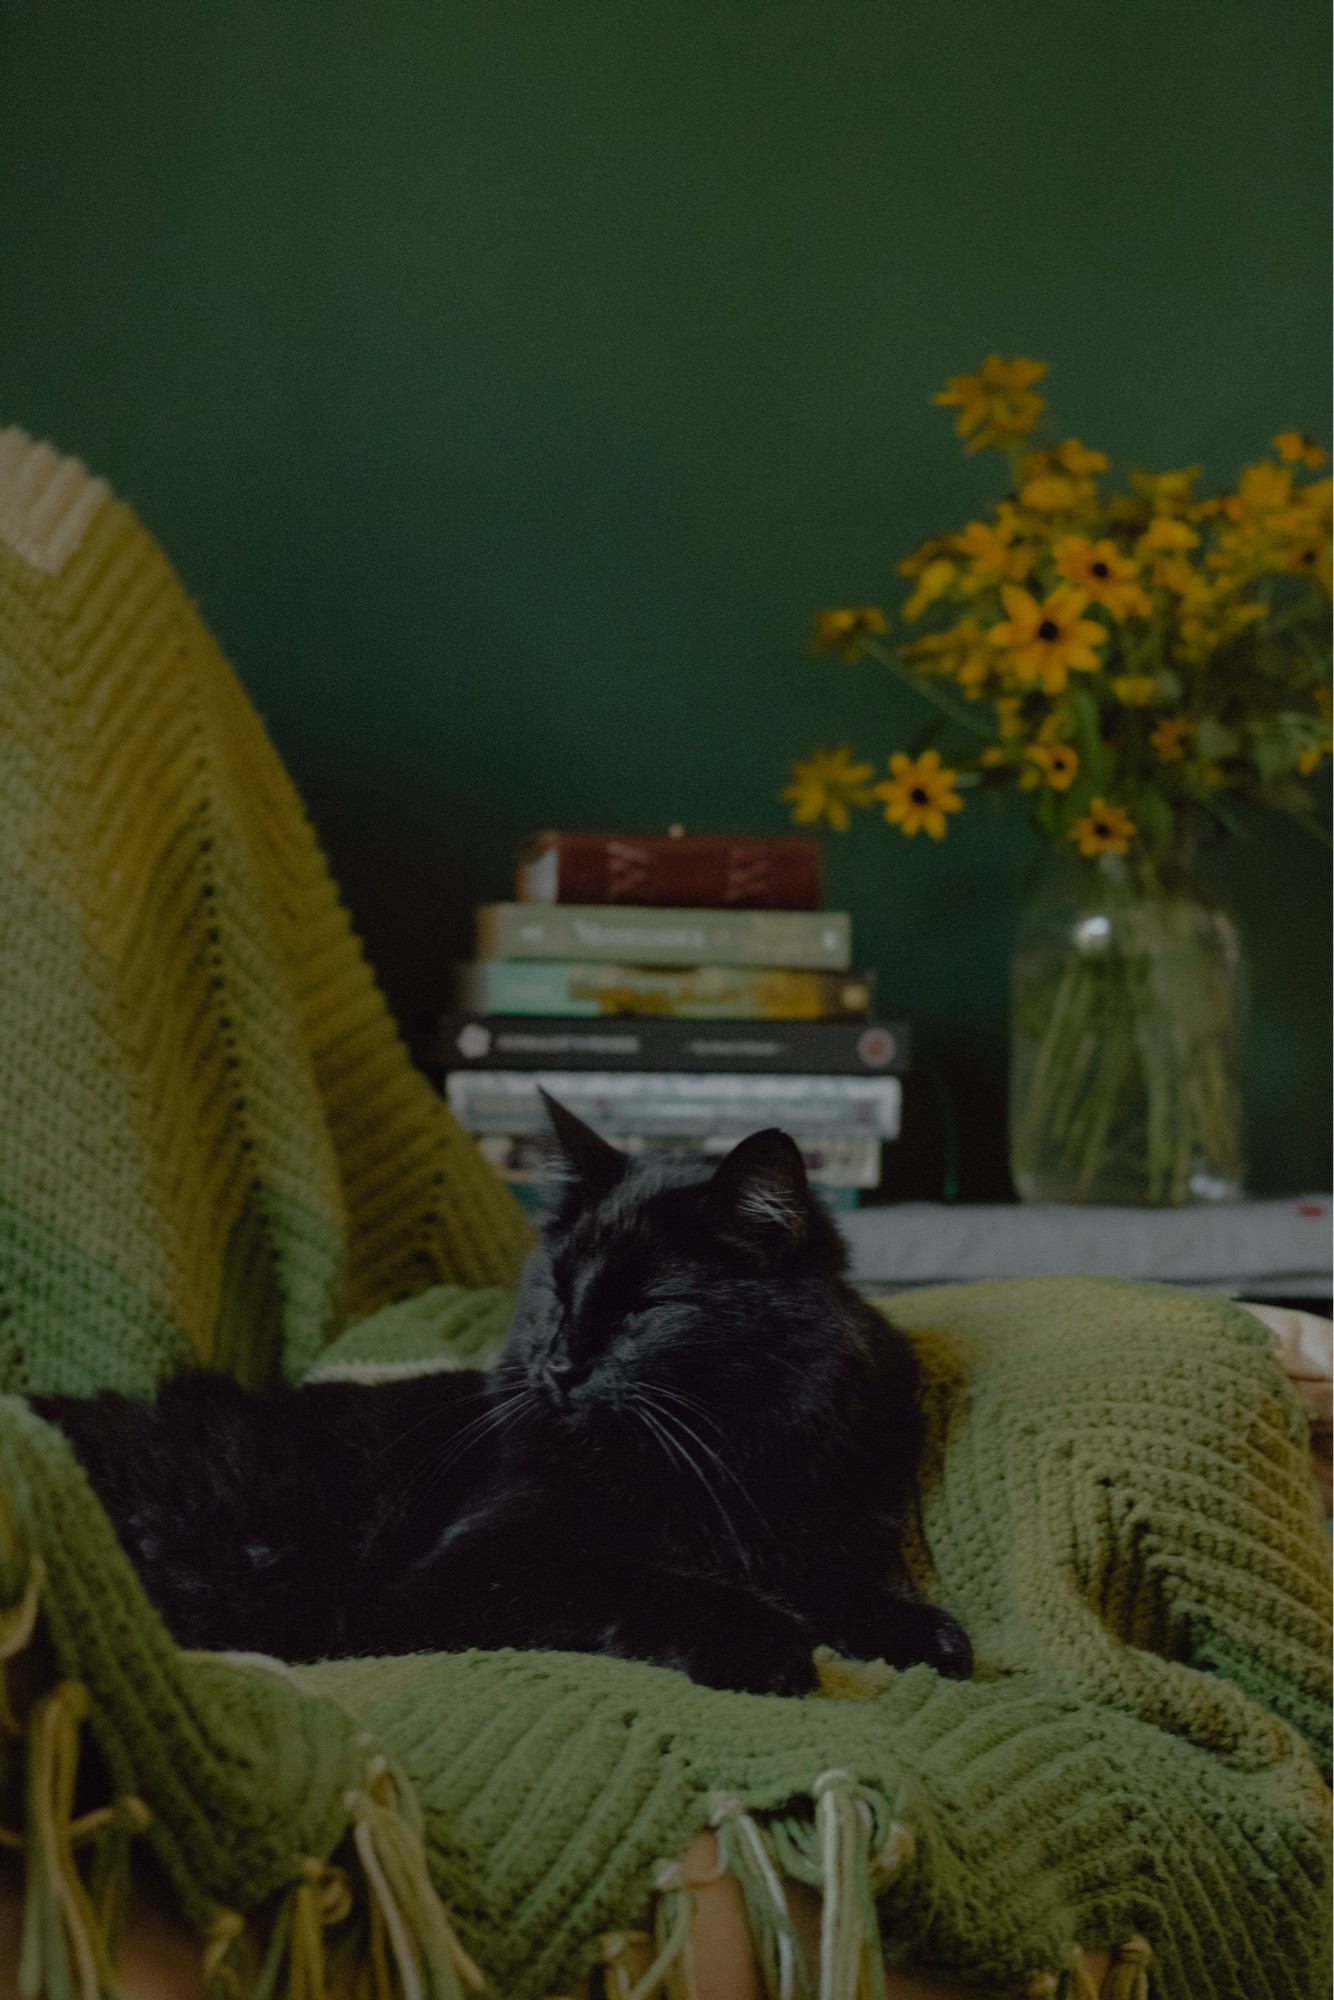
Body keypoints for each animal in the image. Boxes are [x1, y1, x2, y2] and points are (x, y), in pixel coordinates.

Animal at [34, 1096, 972, 1688]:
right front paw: (766, 1643)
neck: (725, 1458)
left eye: (643, 1309)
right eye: (557, 1289)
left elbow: (837, 1587)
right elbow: (644, 1580)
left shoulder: (819, 1543)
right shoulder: (464, 1572)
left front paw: (923, 1633)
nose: (558, 1364)